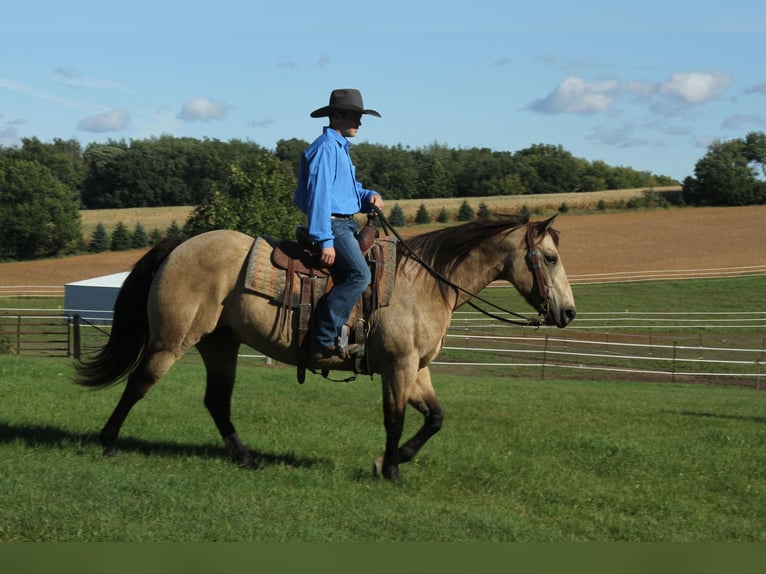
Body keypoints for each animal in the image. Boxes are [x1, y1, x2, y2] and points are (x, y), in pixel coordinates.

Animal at [76, 213, 576, 482]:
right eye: (550, 258)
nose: (569, 312)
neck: (425, 282)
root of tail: (179, 244)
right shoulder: (398, 366)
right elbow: (394, 420)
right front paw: (391, 469)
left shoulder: (418, 369)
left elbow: (434, 418)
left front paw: (388, 461)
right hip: (172, 340)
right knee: (140, 383)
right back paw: (108, 443)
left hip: (221, 344)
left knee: (217, 401)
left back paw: (246, 458)